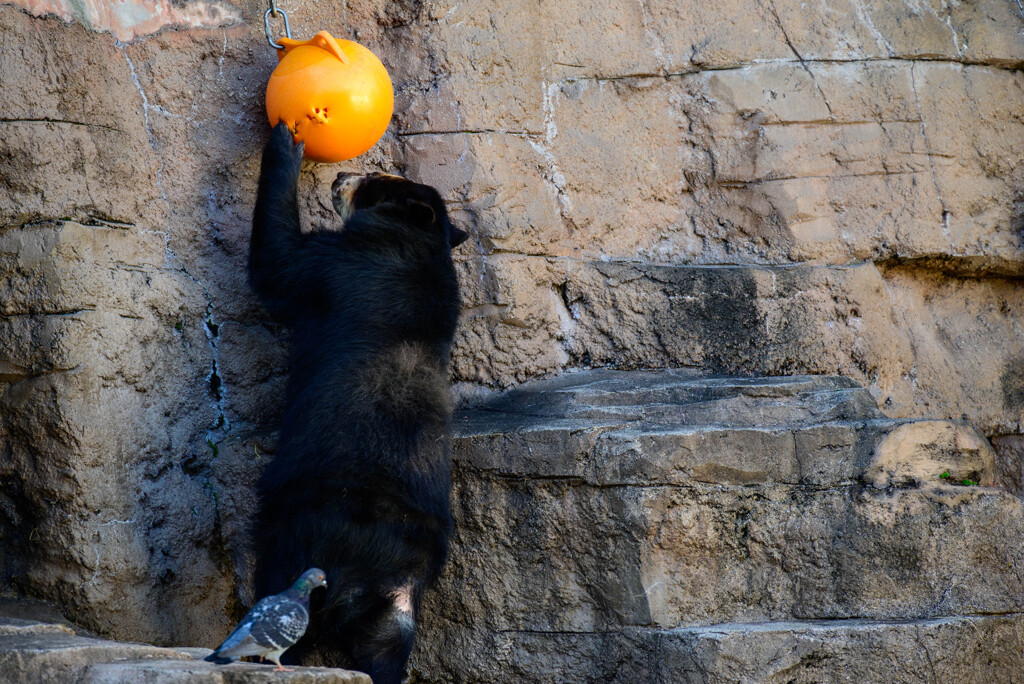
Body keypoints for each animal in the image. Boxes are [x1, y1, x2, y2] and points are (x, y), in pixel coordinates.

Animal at [249, 122, 466, 684]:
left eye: (373, 182)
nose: (340, 175)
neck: (420, 245)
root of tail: (373, 574)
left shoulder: (337, 265)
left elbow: (278, 263)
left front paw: (285, 142)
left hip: (297, 532)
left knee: (277, 593)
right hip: (395, 613)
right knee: (386, 654)